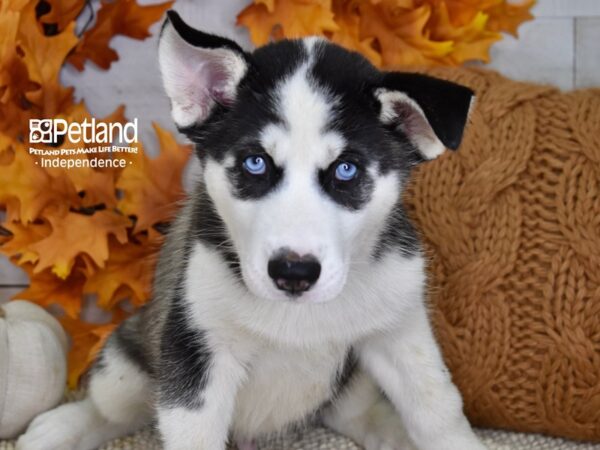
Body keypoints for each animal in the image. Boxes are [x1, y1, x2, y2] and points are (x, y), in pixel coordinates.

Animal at [17, 9, 488, 450]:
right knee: (110, 407)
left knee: (354, 414)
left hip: (353, 381)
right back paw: (60, 426)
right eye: (255, 162)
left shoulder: (401, 333)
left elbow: (438, 411)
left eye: (347, 169)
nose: (294, 273)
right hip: (130, 357)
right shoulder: (195, 351)